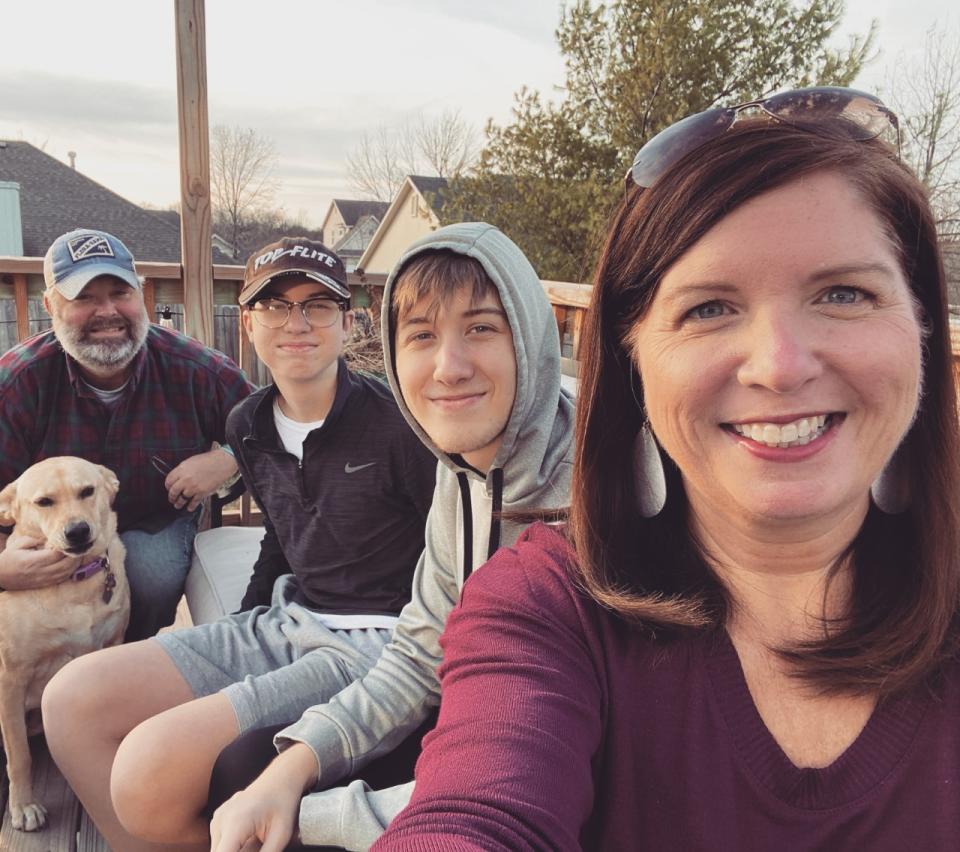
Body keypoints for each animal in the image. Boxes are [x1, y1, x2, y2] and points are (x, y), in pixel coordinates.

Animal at [0, 460, 128, 832]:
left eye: (87, 491)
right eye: (44, 502)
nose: (78, 531)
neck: (75, 584)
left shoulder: (111, 646)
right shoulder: (10, 681)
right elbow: (19, 756)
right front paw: (23, 806)